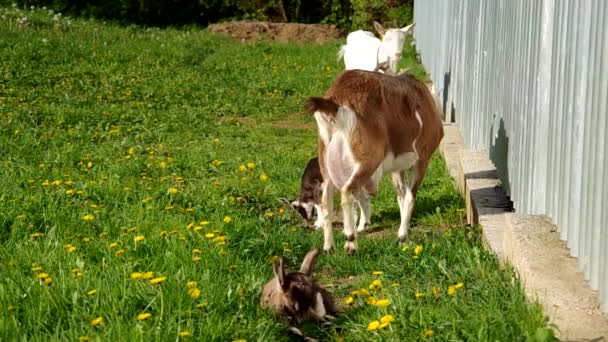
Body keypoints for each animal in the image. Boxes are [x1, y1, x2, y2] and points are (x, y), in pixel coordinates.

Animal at [306, 69, 444, 254]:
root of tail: (337, 103)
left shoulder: (397, 168)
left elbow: (401, 195)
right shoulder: (422, 159)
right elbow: (410, 196)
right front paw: (402, 236)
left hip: (325, 162)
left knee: (326, 198)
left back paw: (329, 247)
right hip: (368, 161)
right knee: (347, 191)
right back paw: (350, 241)